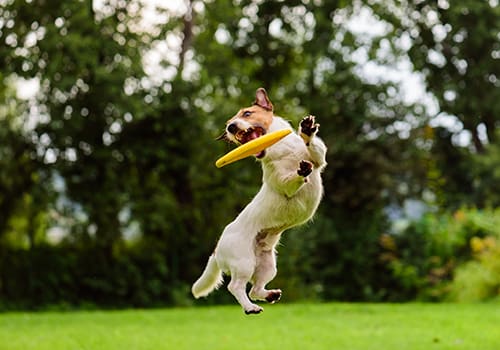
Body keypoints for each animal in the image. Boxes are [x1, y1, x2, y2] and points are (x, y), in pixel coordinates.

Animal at [191, 87, 328, 314]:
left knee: (255, 288)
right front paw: (300, 172)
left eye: (247, 113)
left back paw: (270, 295)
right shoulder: (283, 184)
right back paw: (250, 308)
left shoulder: (319, 160)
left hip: (266, 264)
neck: (281, 149)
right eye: (229, 123)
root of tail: (217, 250)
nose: (231, 127)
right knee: (236, 287)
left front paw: (307, 130)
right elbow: (290, 181)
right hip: (244, 262)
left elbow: (315, 151)